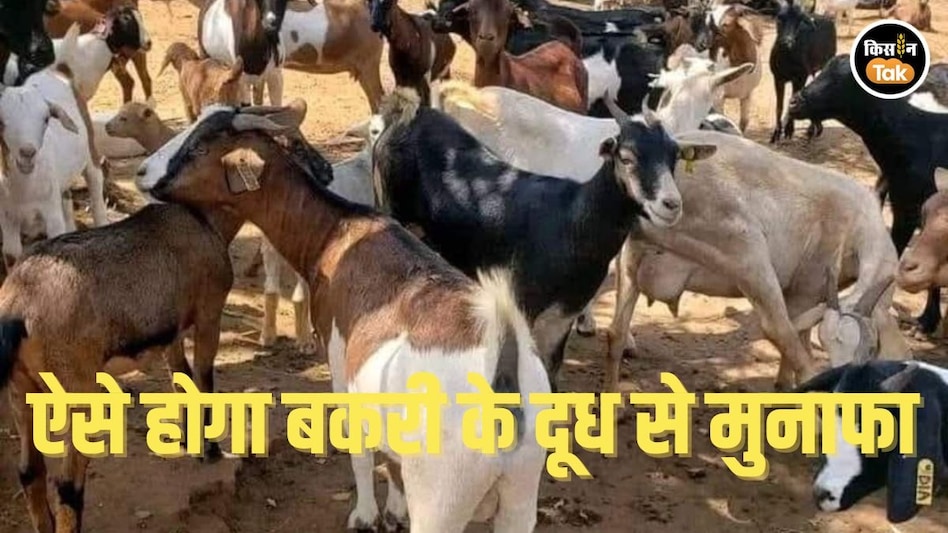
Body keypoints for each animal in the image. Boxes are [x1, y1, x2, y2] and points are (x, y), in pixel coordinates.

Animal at [0, 60, 108, 267]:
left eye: (46, 119)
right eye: (1, 121)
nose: (27, 152)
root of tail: (55, 69)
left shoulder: (51, 213)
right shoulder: (8, 219)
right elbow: (12, 255)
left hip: (90, 148)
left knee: (96, 186)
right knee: (67, 198)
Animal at [135, 99, 549, 533]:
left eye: (199, 149)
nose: (141, 173)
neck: (336, 232)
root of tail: (502, 371)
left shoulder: (337, 355)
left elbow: (359, 445)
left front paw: (366, 515)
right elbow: (391, 462)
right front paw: (394, 510)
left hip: (441, 499)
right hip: (520, 495)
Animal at [374, 87, 715, 390]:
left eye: (674, 157)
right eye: (626, 157)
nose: (671, 205)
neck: (571, 222)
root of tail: (406, 115)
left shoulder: (563, 317)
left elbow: (551, 380)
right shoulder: (524, 307)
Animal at [770, 0, 836, 143]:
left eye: (799, 21)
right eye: (779, 17)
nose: (787, 42)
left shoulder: (800, 77)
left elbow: (792, 100)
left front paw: (789, 130)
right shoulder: (778, 77)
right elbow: (779, 106)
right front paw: (776, 133)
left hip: (824, 65)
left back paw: (812, 130)